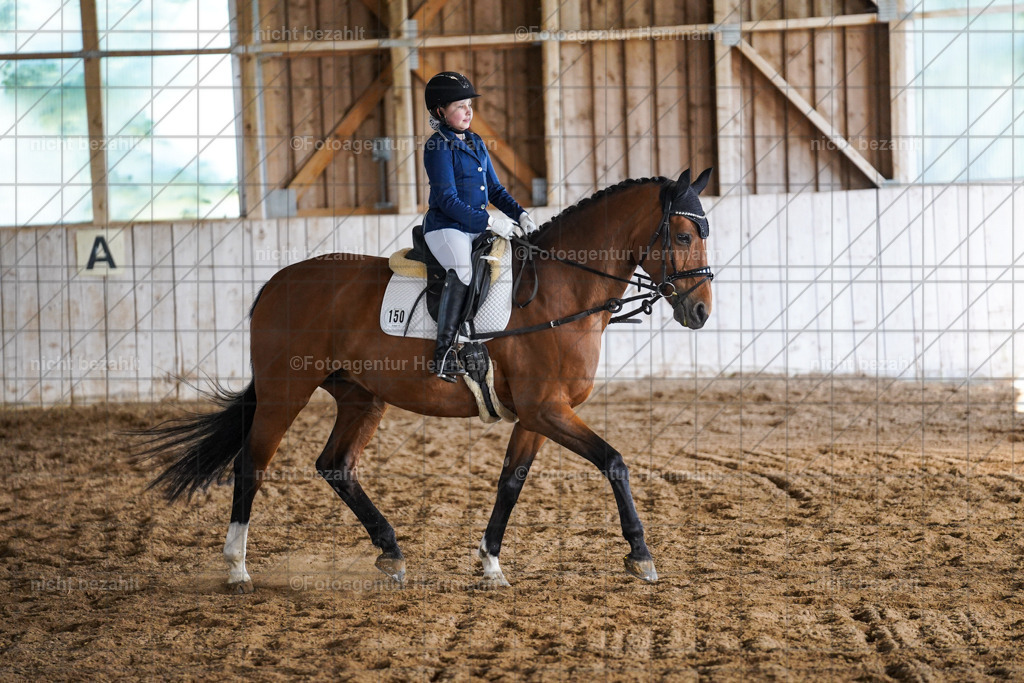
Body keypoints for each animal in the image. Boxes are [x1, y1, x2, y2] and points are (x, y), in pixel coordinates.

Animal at [137, 168, 715, 592]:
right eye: (683, 234)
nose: (701, 311)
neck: (560, 290)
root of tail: (277, 281)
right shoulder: (547, 409)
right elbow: (614, 462)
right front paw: (641, 555)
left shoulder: (536, 414)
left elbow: (511, 481)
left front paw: (491, 564)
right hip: (285, 394)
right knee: (251, 465)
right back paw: (237, 568)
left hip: (362, 398)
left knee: (335, 465)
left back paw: (391, 552)